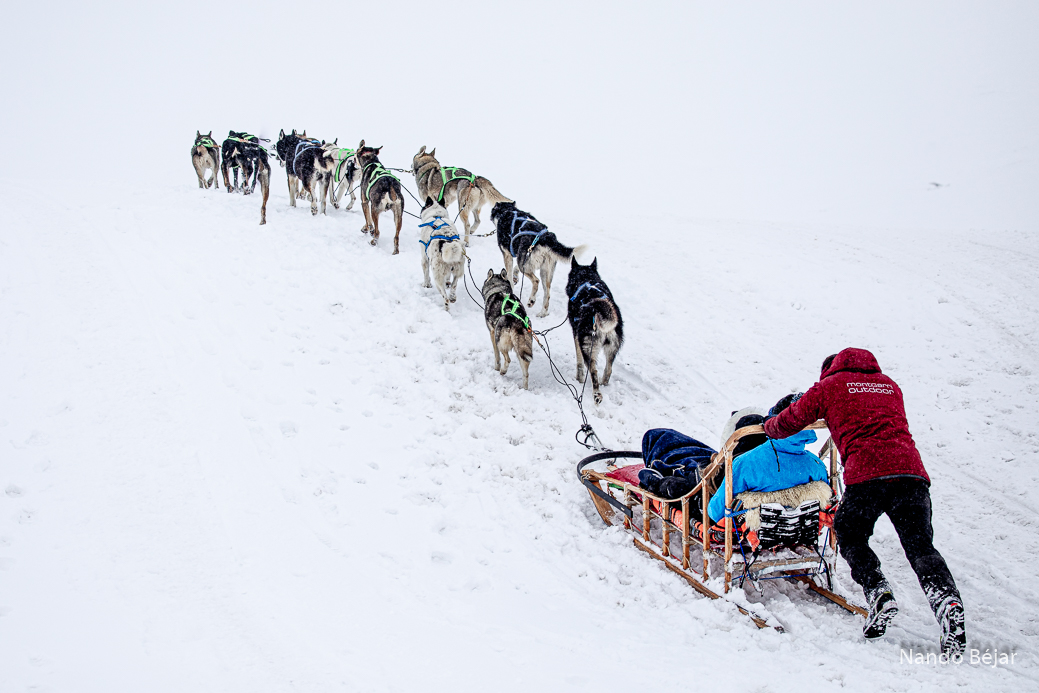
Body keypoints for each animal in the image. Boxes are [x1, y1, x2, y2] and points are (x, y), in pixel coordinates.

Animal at [565, 257, 623, 404]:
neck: (587, 279)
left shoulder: (576, 336)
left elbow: (579, 362)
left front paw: (579, 378)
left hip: (588, 348)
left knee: (593, 372)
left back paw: (597, 394)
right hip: (612, 348)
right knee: (608, 370)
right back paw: (604, 384)